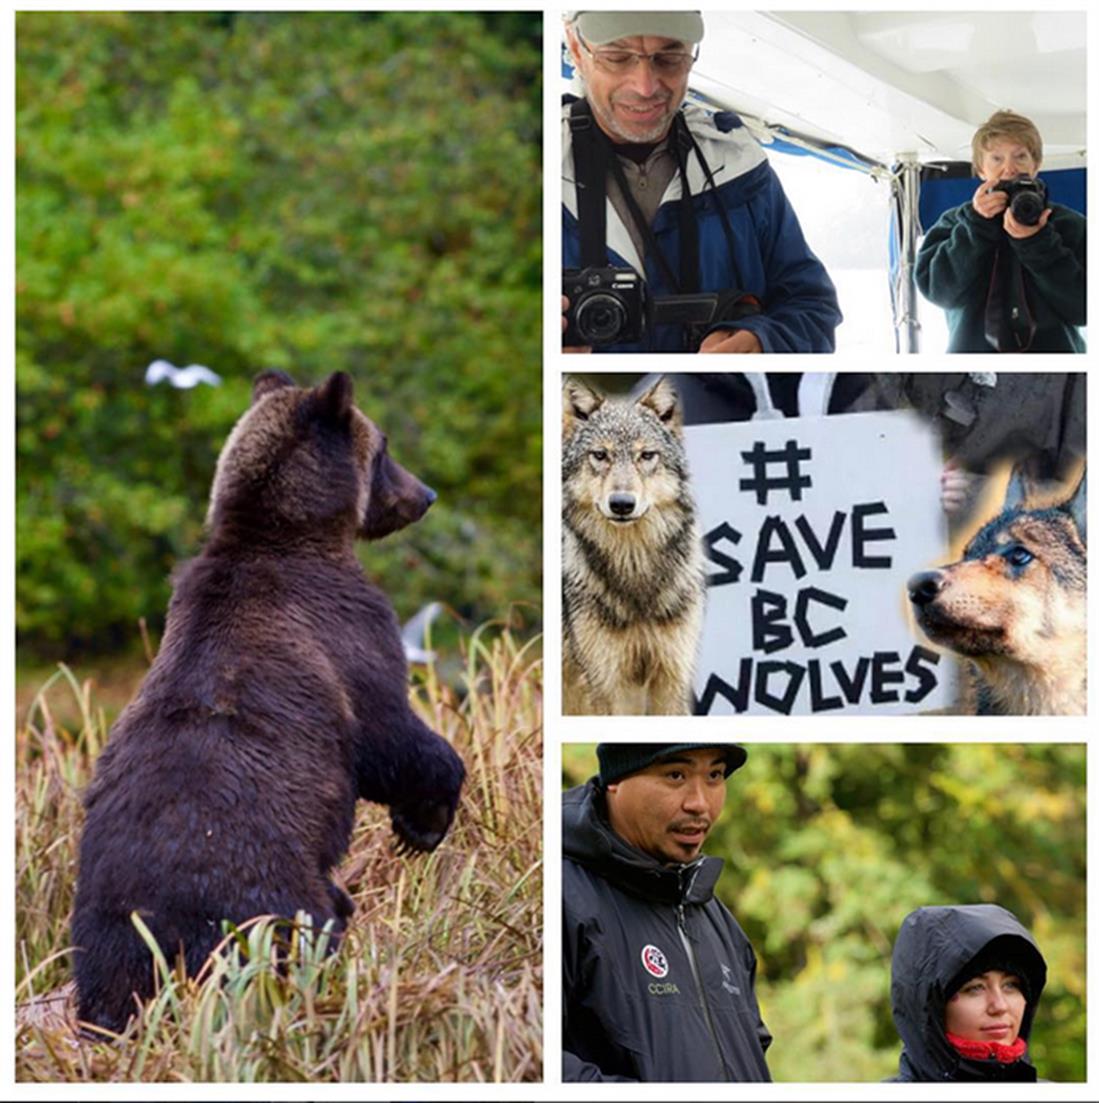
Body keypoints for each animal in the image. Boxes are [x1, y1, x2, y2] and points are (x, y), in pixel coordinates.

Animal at [68, 370, 463, 1032]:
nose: (426, 494)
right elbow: (389, 732)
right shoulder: (345, 629)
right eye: (383, 448)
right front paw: (425, 821)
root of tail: (167, 928)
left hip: (105, 934)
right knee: (306, 931)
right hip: (263, 890)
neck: (288, 534)